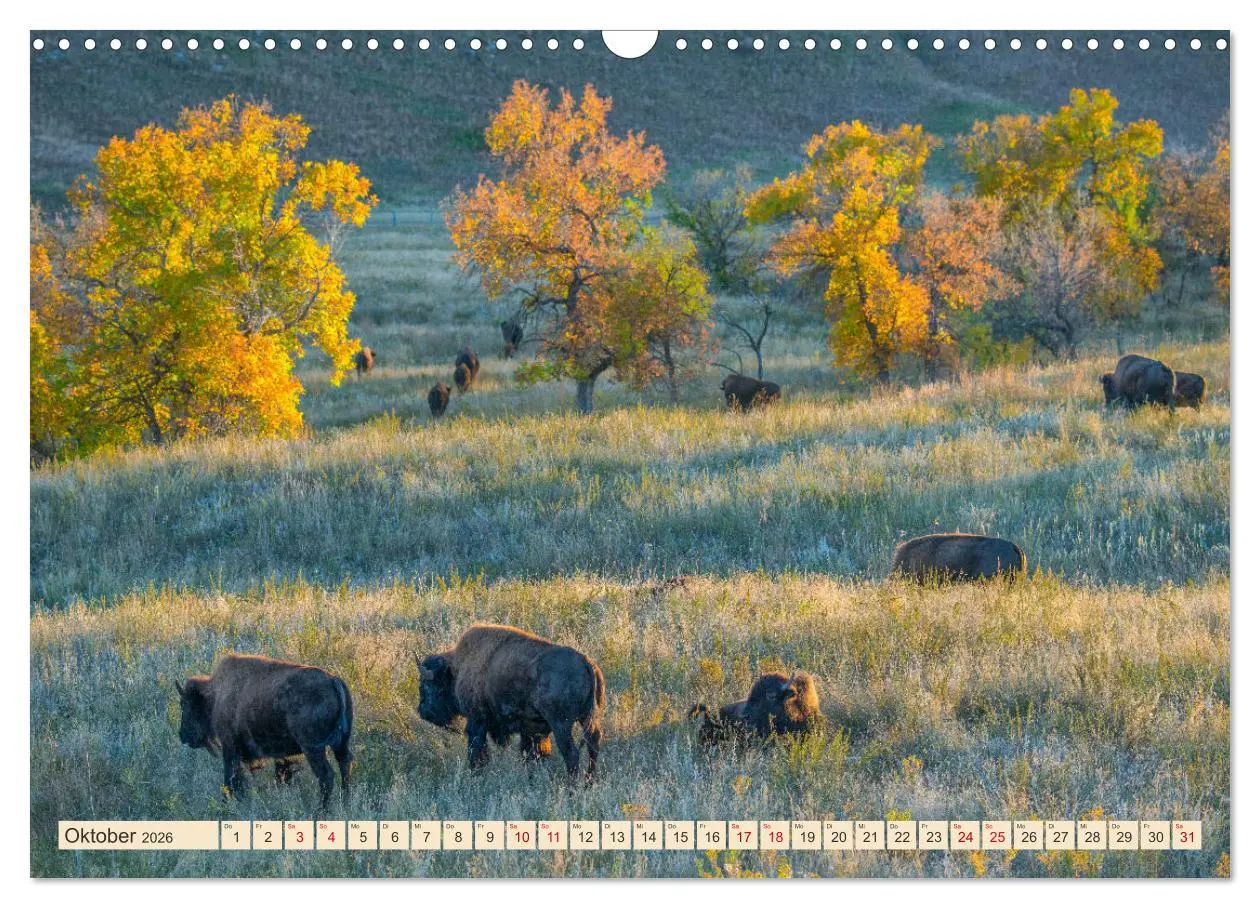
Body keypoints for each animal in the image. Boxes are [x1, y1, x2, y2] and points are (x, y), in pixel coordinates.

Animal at [175, 654, 353, 811]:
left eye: (185, 704)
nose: (183, 735)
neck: (216, 694)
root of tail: (333, 680)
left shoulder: (230, 746)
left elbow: (230, 778)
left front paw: (227, 803)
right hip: (341, 743)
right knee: (345, 764)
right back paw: (345, 803)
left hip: (312, 748)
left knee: (326, 775)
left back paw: (321, 811)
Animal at [416, 624, 605, 778]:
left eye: (426, 685)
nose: (422, 710)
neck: (457, 668)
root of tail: (586, 662)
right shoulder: (529, 729)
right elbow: (530, 752)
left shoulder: (477, 721)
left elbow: (477, 750)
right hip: (589, 718)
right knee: (593, 745)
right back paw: (589, 781)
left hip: (561, 724)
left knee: (571, 753)